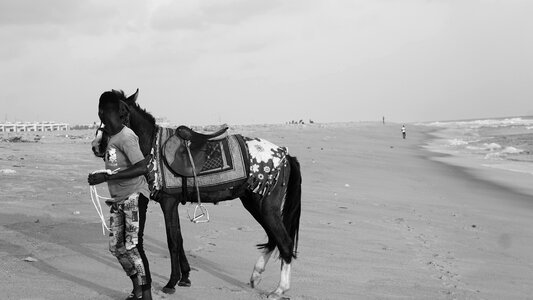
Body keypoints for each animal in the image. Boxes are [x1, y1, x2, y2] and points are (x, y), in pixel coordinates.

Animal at [89, 88, 302, 298]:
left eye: (122, 113)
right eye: (100, 114)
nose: (97, 145)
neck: (154, 148)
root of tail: (284, 155)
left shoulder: (168, 202)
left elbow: (173, 241)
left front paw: (172, 282)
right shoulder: (173, 204)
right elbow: (179, 238)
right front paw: (185, 277)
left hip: (266, 206)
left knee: (284, 241)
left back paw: (280, 289)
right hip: (253, 203)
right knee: (273, 238)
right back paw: (256, 275)